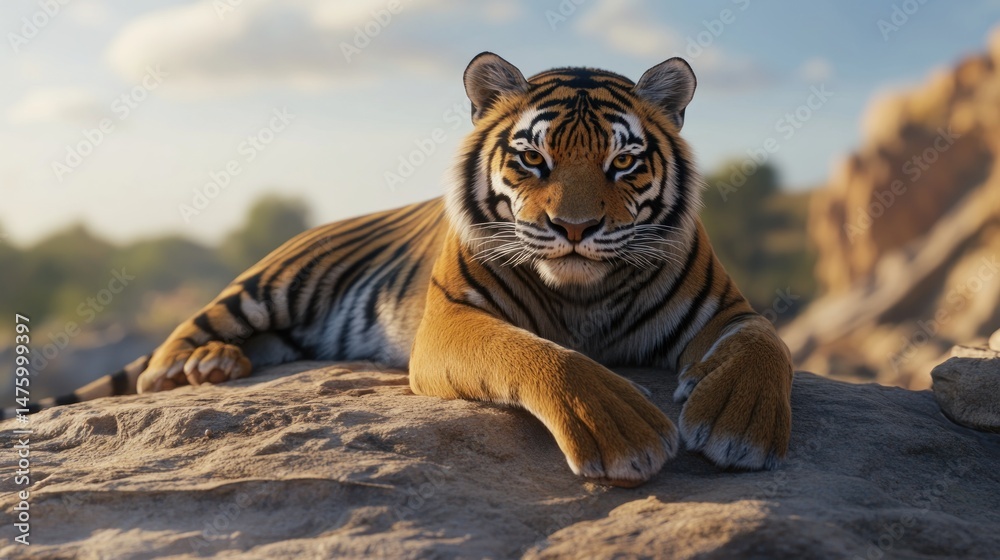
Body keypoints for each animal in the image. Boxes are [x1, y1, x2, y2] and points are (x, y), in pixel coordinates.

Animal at [5, 52, 793, 487]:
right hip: (269, 284)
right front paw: (622, 427)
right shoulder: (453, 321)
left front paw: (740, 424)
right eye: (532, 158)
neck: (583, 294)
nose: (573, 229)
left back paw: (224, 364)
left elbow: (767, 346)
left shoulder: (728, 310)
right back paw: (201, 368)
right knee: (161, 359)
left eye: (623, 162)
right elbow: (543, 356)